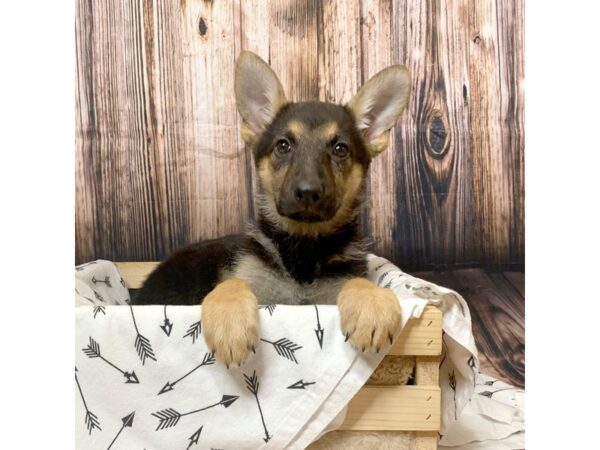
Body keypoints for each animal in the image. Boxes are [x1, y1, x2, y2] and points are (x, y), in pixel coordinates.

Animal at [133, 51, 410, 368]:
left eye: (340, 149)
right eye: (283, 146)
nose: (308, 192)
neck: (304, 249)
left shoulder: (339, 282)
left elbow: (360, 283)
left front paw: (372, 305)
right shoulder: (249, 277)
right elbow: (232, 284)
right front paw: (230, 323)